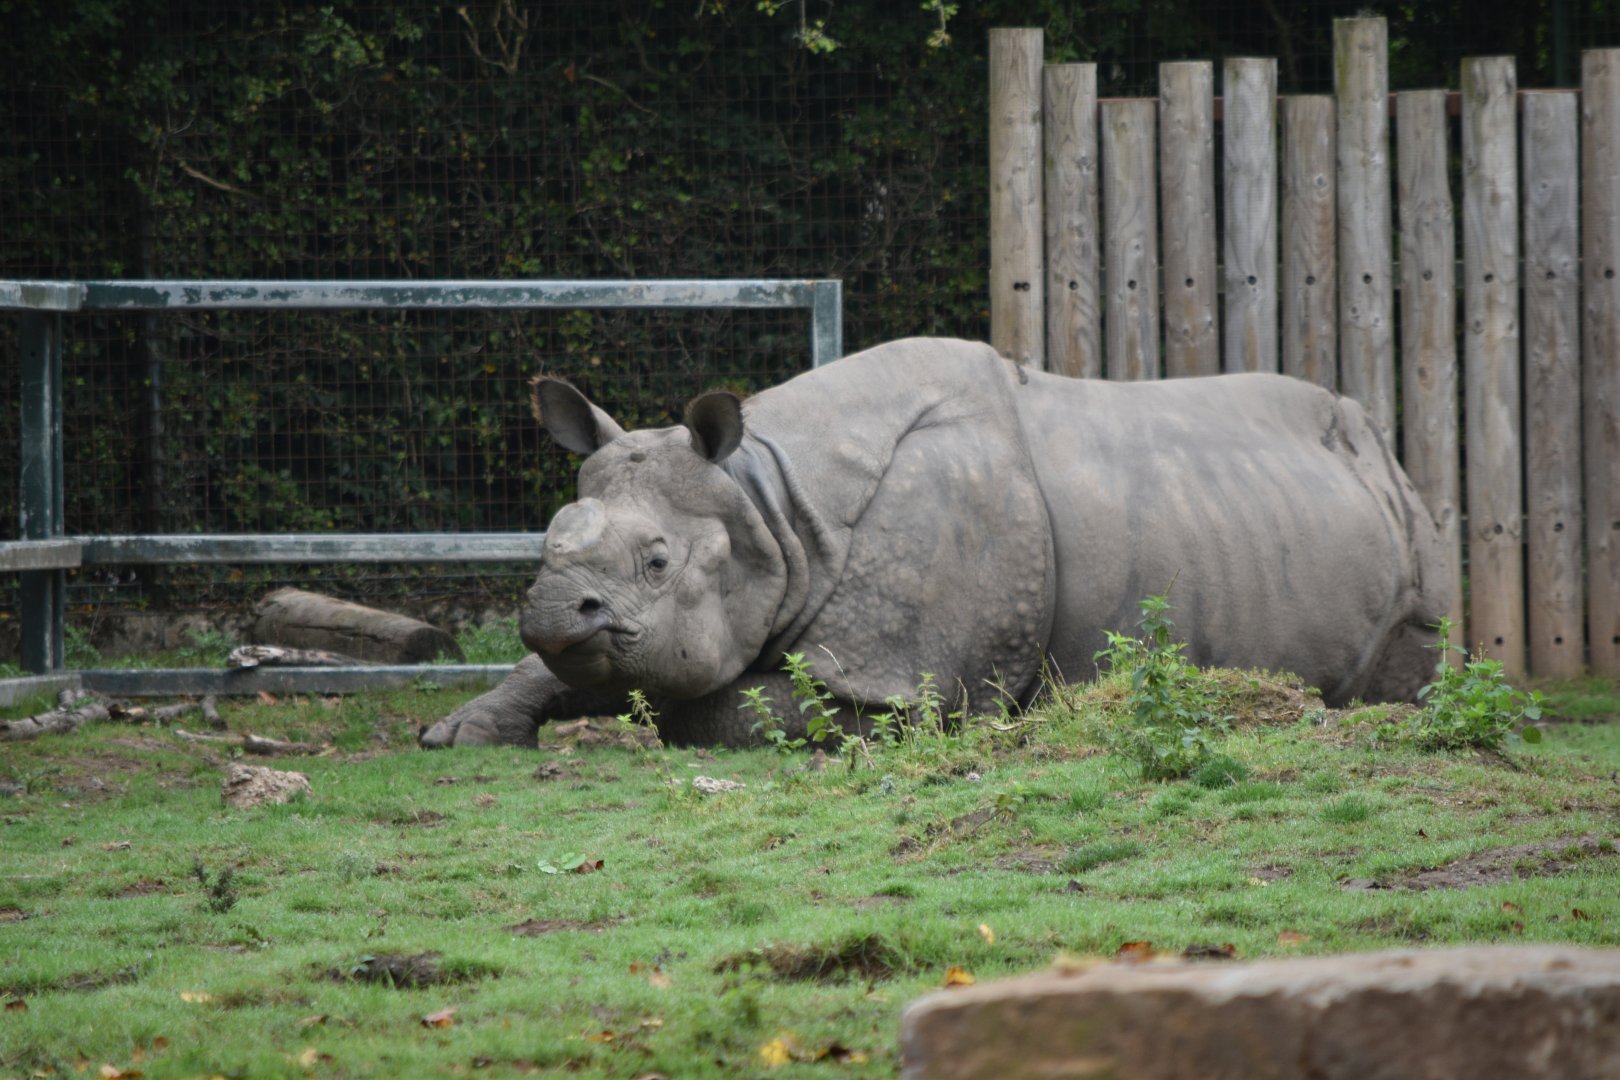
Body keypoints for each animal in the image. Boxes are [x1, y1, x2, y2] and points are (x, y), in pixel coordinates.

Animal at [418, 337, 1449, 749]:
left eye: (660, 561)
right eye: (549, 546)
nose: (553, 610)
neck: (772, 508)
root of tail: (1388, 446)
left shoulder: (902, 674)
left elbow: (710, 707)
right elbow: (575, 671)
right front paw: (456, 733)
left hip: (1409, 523)